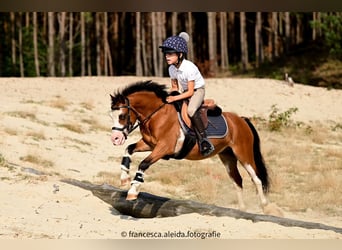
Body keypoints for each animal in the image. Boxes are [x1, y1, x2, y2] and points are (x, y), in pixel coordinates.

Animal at [109, 80, 270, 211]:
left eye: (122, 116)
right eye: (111, 116)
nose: (115, 138)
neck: (157, 115)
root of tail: (242, 120)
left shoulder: (164, 147)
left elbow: (143, 163)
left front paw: (133, 191)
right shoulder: (150, 144)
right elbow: (129, 149)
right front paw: (124, 178)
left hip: (243, 154)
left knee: (256, 178)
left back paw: (264, 205)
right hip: (227, 156)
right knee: (238, 181)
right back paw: (242, 209)